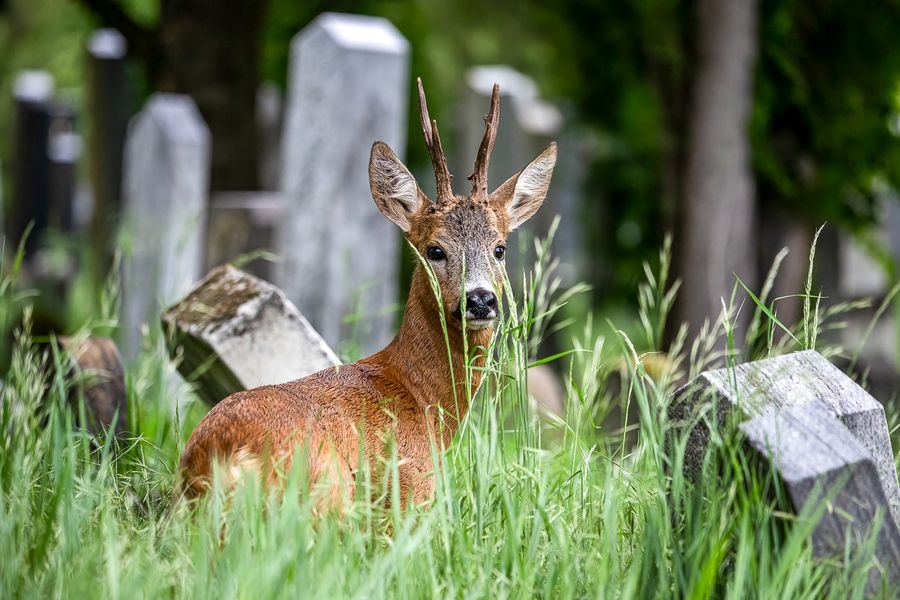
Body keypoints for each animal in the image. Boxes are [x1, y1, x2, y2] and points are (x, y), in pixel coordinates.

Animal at [176, 76, 556, 506]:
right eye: (435, 250)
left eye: (500, 248)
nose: (479, 299)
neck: (423, 401)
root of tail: (218, 454)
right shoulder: (412, 491)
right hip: (328, 485)